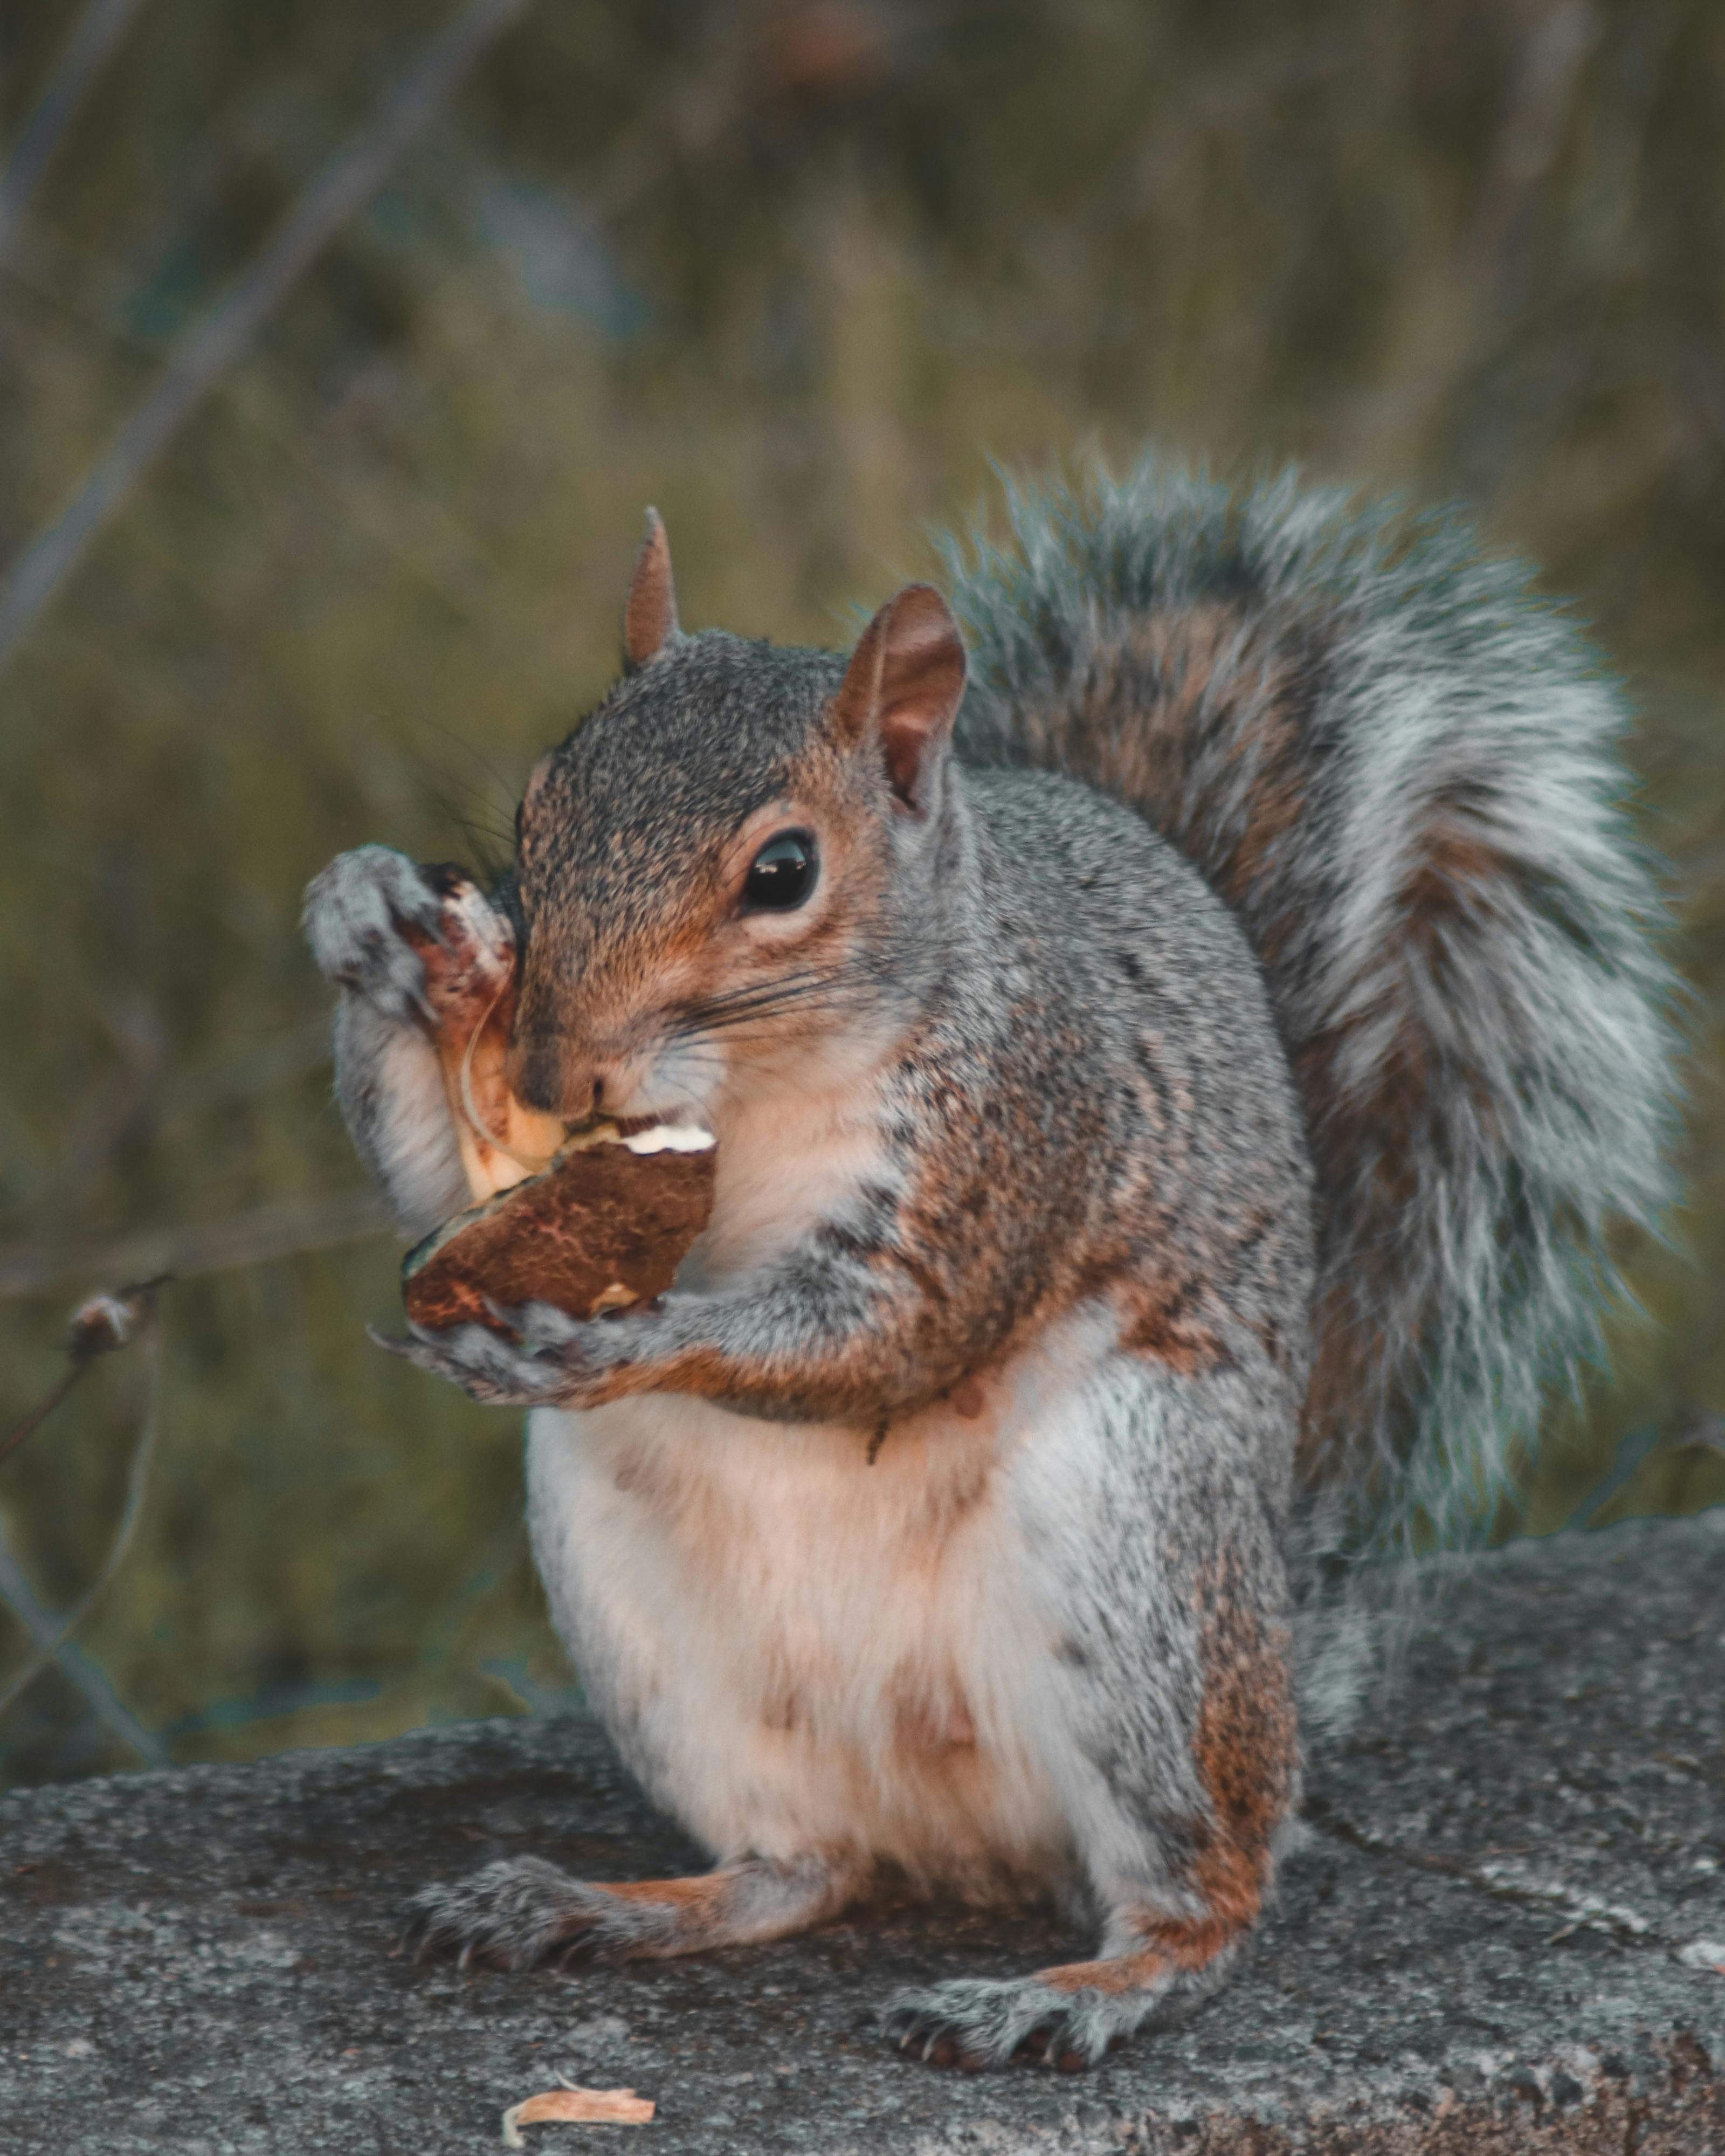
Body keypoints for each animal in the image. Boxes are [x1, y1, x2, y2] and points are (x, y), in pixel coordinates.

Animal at [304, 467, 1682, 2070]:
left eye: (784, 871)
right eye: (541, 799)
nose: (545, 1068)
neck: (761, 1075)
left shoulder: (1020, 1115)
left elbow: (899, 1331)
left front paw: (624, 1339)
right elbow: (433, 1185)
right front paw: (368, 915)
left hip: (1138, 1545)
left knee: (1207, 1888)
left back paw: (1074, 1989)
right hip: (645, 1620)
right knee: (797, 1866)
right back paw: (599, 1902)